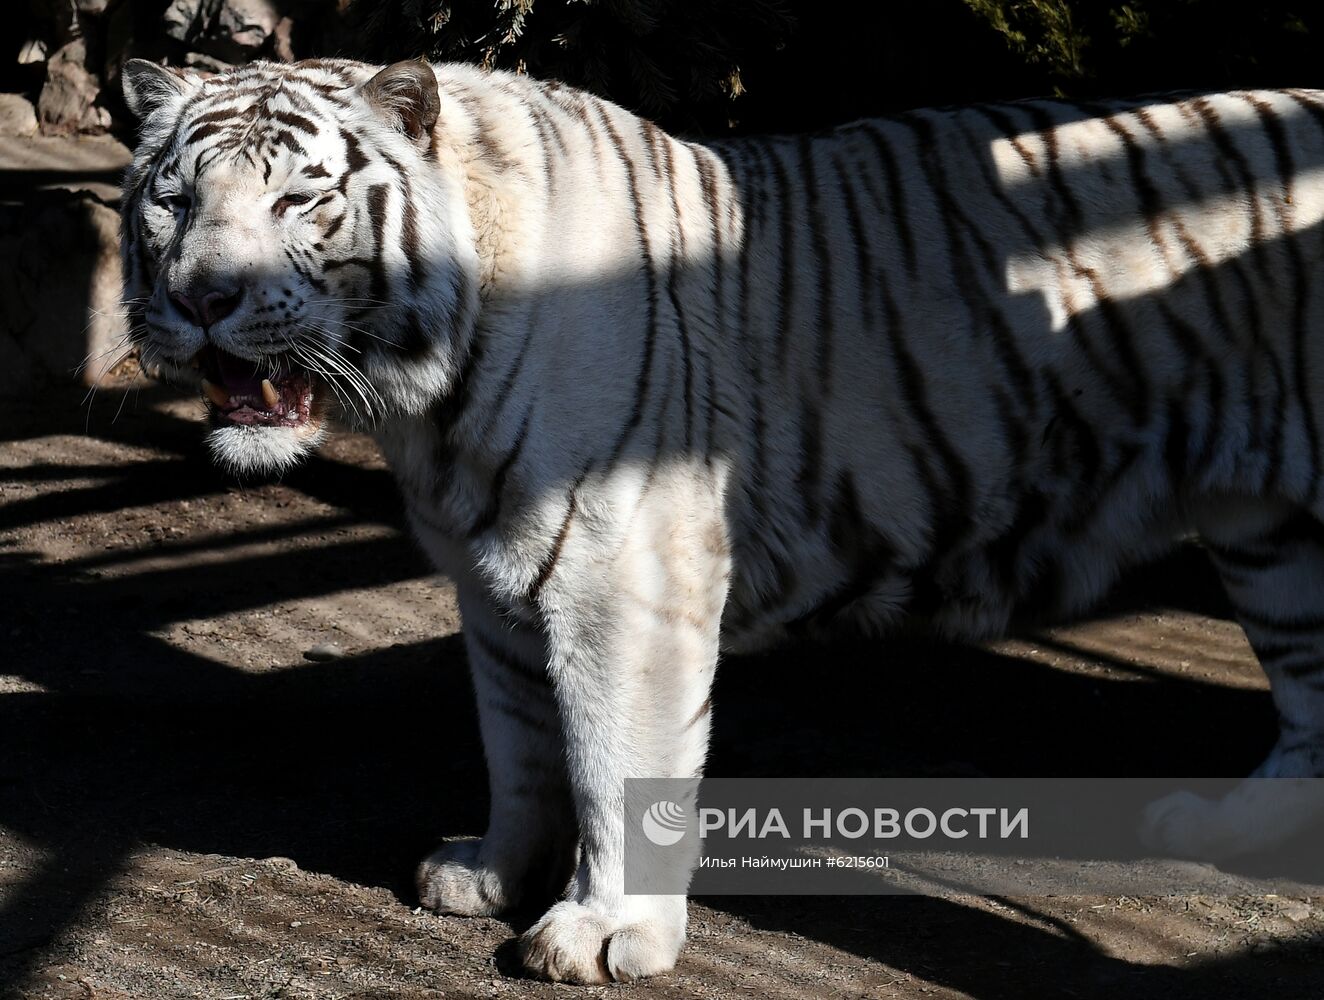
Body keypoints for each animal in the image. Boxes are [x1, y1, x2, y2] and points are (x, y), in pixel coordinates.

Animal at [119, 56, 1324, 985]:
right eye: (171, 203)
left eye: (298, 202)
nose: (202, 298)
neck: (428, 402)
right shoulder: (491, 583)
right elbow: (518, 745)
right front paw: (494, 871)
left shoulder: (623, 579)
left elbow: (610, 758)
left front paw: (603, 933)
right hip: (1271, 534)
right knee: (1309, 708)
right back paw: (1218, 829)